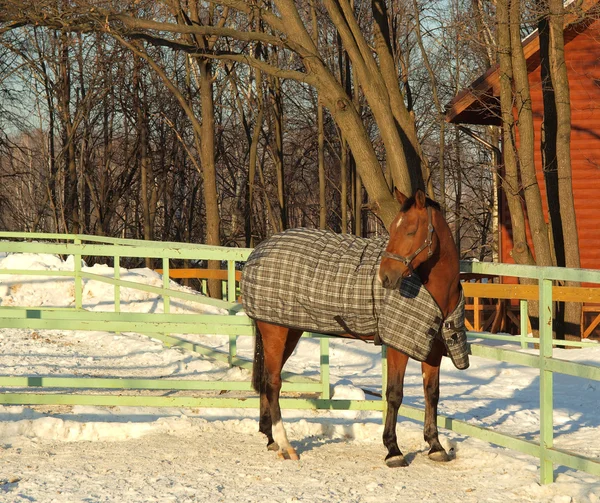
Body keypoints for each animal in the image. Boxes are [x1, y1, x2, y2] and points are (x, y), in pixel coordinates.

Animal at [241, 190, 462, 468]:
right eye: (392, 229)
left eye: (411, 231)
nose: (385, 277)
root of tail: (259, 250)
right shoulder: (397, 347)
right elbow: (394, 394)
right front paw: (393, 450)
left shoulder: (432, 350)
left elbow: (432, 394)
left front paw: (435, 445)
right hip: (275, 331)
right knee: (272, 383)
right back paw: (285, 444)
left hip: (290, 330)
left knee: (268, 379)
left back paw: (271, 439)